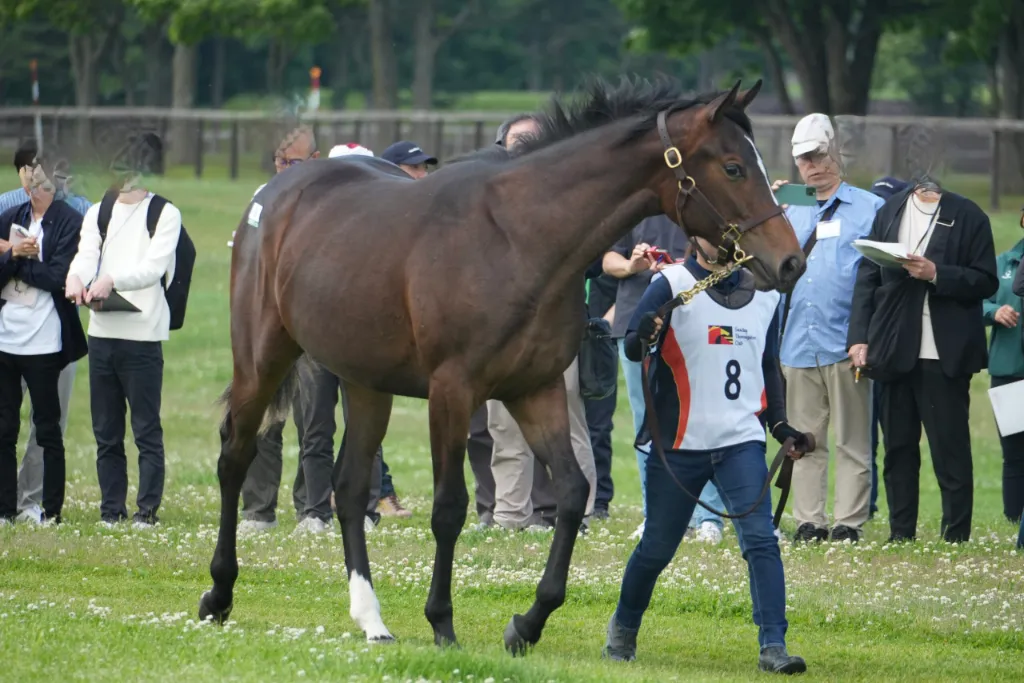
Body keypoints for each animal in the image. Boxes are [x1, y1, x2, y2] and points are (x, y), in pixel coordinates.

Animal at [198, 76, 806, 654]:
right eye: (733, 167)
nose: (791, 262)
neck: (518, 237)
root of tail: (274, 194)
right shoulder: (452, 392)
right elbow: (449, 508)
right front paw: (442, 622)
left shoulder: (535, 390)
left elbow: (571, 494)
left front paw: (527, 625)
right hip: (262, 359)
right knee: (235, 456)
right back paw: (219, 593)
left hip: (366, 382)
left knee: (347, 489)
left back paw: (372, 621)